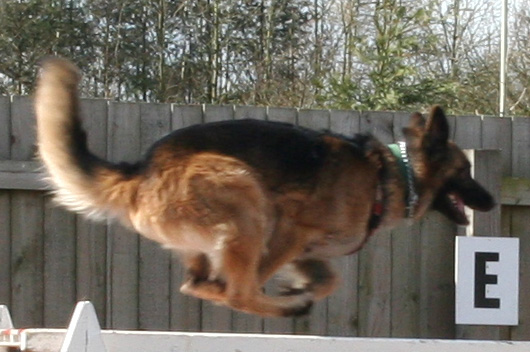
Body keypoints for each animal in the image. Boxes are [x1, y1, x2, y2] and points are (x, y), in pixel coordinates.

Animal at [35, 57, 492, 316]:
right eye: (466, 169)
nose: (489, 201)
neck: (391, 173)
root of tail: (143, 168)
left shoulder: (310, 252)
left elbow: (329, 280)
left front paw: (302, 287)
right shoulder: (291, 229)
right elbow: (257, 279)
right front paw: (293, 293)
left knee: (198, 285)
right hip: (245, 199)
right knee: (237, 291)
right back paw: (285, 308)